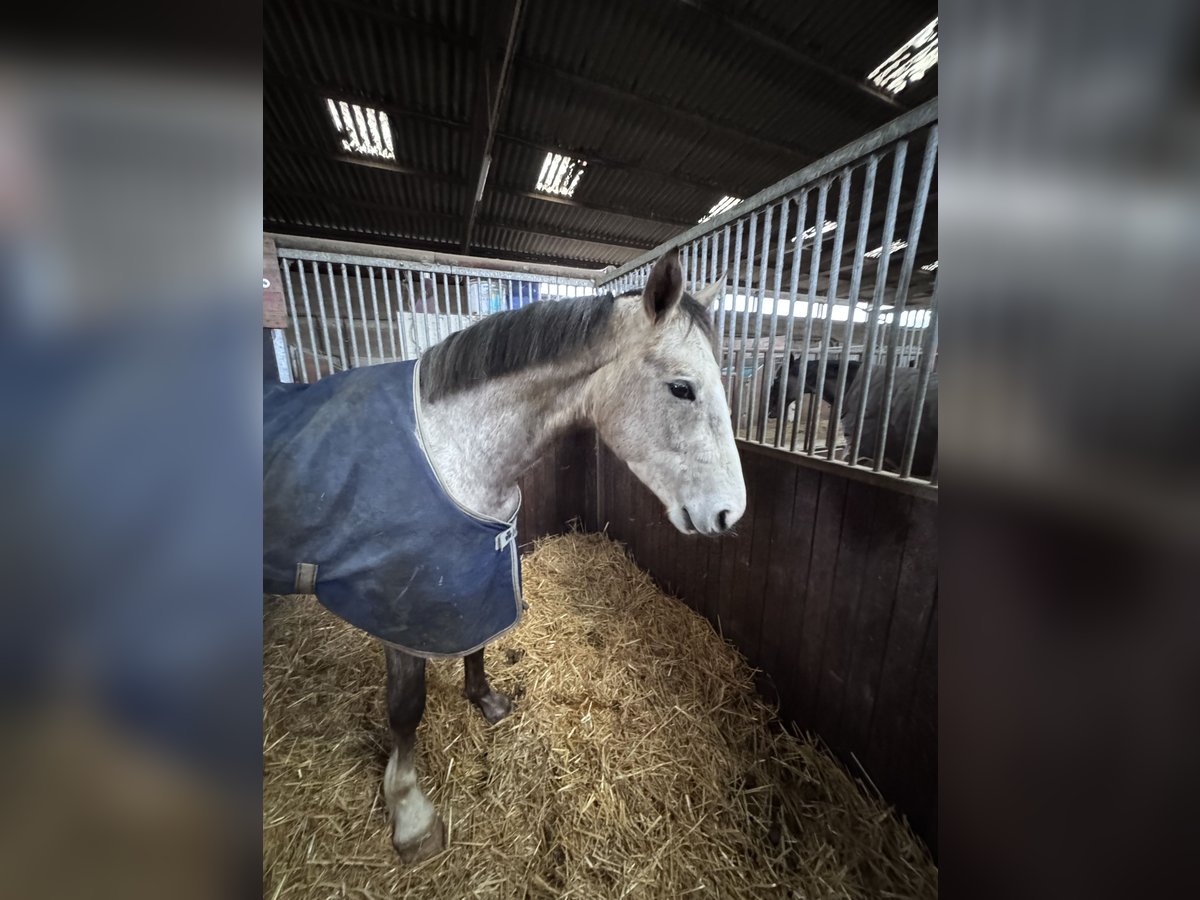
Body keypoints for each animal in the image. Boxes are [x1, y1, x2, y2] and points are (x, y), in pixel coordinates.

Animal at [263, 250, 746, 863]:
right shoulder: (398, 606)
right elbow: (406, 707)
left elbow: (480, 642)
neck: (451, 447)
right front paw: (410, 814)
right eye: (682, 388)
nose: (730, 514)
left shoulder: (474, 569)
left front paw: (486, 702)